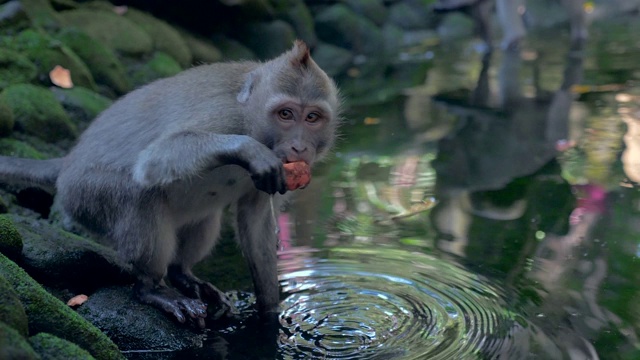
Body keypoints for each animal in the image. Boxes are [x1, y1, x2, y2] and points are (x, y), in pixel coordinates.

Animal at [0, 40, 342, 328]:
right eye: (285, 114)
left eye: (312, 118)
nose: (299, 147)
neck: (251, 119)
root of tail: (67, 164)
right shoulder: (223, 116)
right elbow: (154, 159)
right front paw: (248, 149)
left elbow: (255, 221)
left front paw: (270, 318)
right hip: (85, 195)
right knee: (139, 194)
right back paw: (152, 289)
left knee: (204, 218)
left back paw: (184, 275)